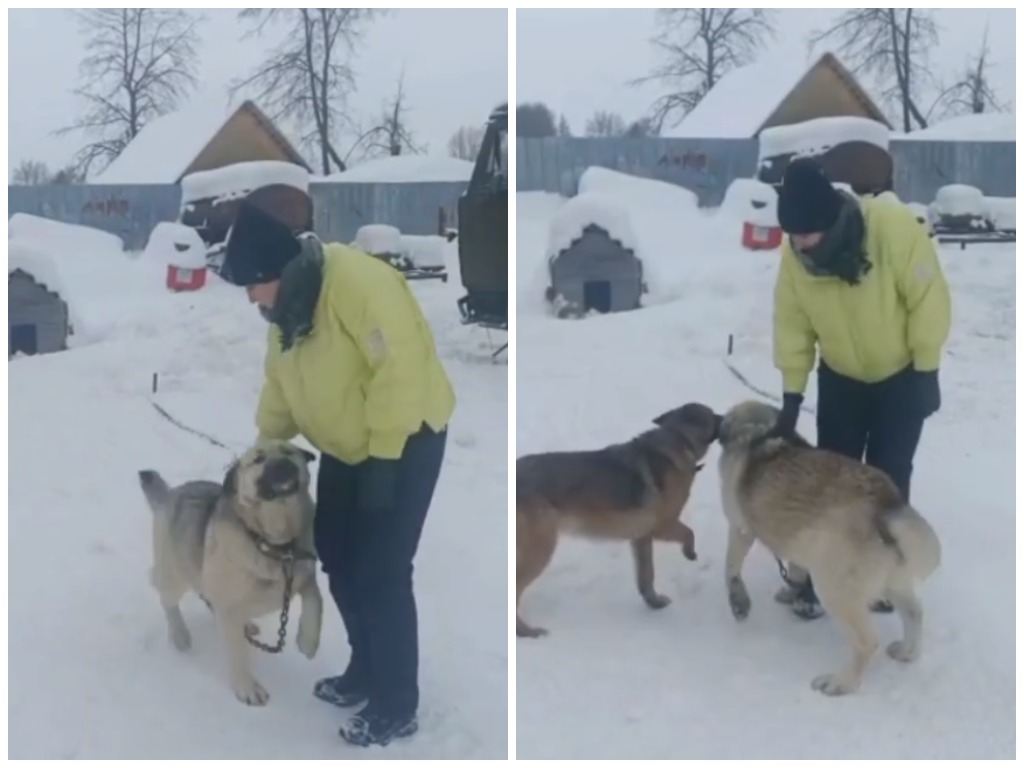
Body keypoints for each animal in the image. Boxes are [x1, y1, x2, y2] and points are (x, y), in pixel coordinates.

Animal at [134, 442, 321, 708]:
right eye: (258, 459)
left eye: (288, 452)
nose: (281, 464)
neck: (273, 544)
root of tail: (172, 493)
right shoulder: (230, 607)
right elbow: (238, 653)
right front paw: (247, 688)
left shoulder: (304, 574)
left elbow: (316, 599)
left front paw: (308, 641)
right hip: (176, 573)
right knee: (167, 600)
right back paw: (180, 635)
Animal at [512, 403, 720, 638]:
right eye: (714, 415)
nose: (725, 418)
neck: (677, 436)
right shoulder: (661, 526)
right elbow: (689, 533)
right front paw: (689, 552)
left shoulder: (641, 538)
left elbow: (646, 578)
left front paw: (654, 604)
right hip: (541, 548)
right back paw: (526, 631)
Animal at [716, 403, 937, 696]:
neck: (757, 434)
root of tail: (885, 504)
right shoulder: (798, 538)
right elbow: (796, 568)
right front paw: (793, 592)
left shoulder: (740, 529)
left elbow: (730, 568)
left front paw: (739, 601)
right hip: (892, 583)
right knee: (915, 612)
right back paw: (908, 652)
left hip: (834, 588)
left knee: (867, 642)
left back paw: (839, 684)